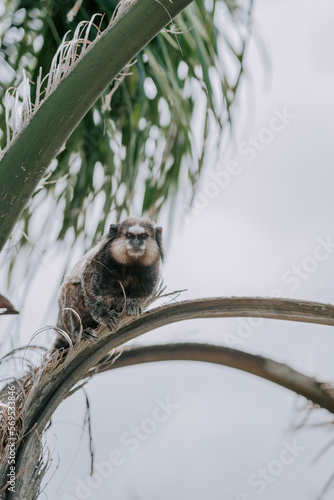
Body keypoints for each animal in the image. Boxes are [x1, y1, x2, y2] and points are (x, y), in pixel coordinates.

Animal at [51, 218, 164, 352]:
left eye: (143, 236)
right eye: (129, 235)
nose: (136, 243)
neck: (129, 267)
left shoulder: (152, 269)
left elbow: (144, 295)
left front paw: (133, 305)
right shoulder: (99, 261)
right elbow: (90, 290)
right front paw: (105, 317)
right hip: (64, 319)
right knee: (72, 292)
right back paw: (80, 332)